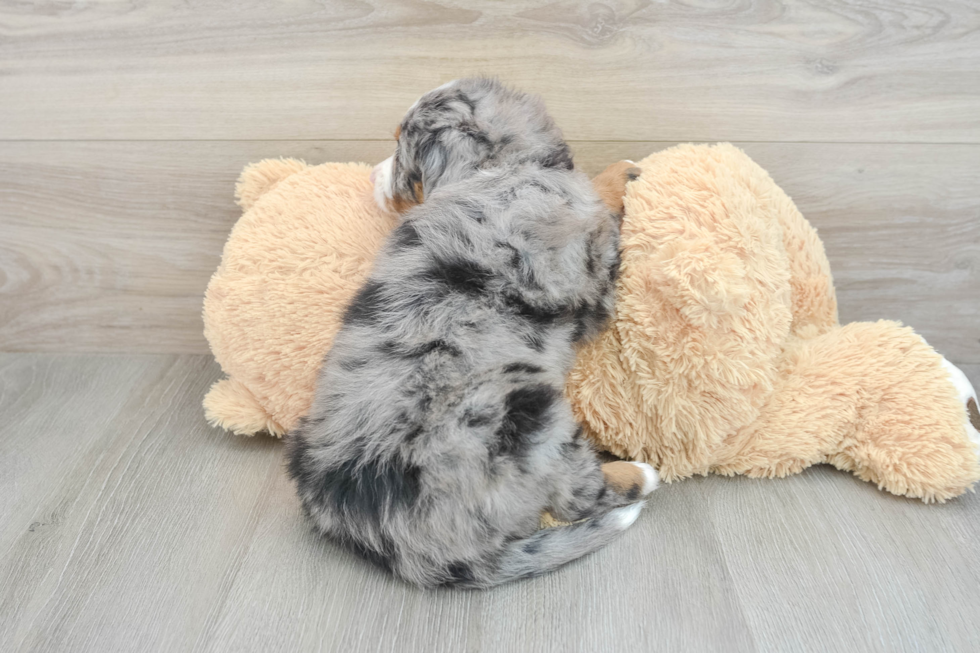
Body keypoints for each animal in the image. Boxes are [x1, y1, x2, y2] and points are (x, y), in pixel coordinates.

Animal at [290, 79, 660, 588]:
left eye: (399, 148)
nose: (370, 179)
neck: (506, 168)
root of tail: (404, 549)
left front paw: (620, 170)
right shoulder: (590, 279)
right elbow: (597, 210)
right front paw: (618, 175)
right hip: (524, 408)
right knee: (574, 496)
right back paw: (639, 475)